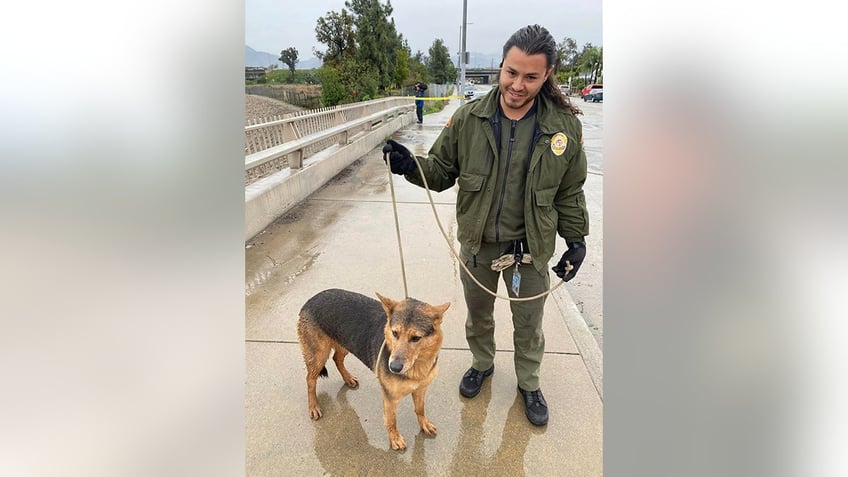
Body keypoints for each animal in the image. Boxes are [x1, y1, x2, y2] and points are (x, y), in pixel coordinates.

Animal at [298, 288, 450, 448]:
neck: (417, 366)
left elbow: (420, 409)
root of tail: (311, 299)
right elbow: (391, 420)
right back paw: (313, 406)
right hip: (319, 355)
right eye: (395, 333)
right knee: (310, 379)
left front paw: (424, 424)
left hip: (346, 343)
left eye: (416, 338)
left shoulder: (420, 389)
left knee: (337, 359)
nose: (393, 367)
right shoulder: (390, 398)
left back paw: (348, 378)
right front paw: (395, 438)